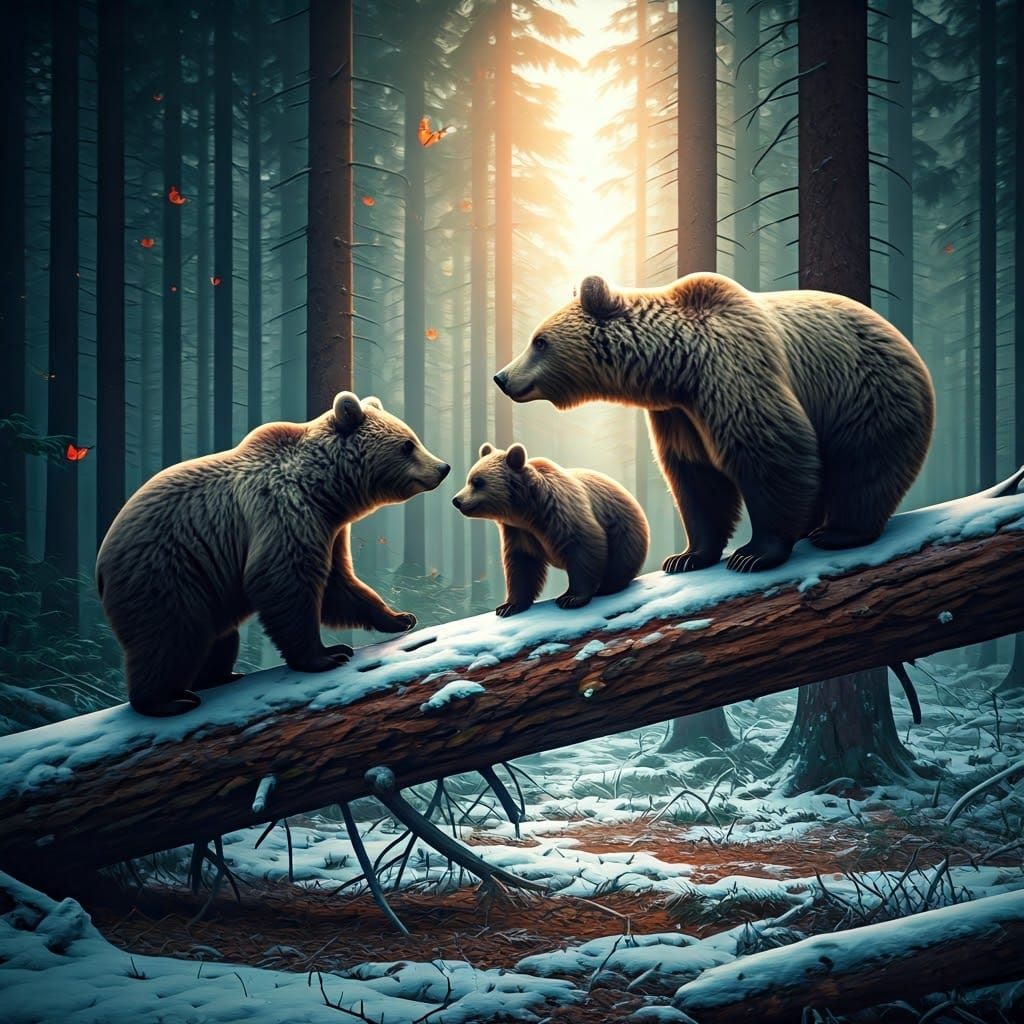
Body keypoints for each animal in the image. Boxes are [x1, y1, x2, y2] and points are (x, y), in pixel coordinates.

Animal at [96, 392, 450, 716]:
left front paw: (399, 616)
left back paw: (220, 675)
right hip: (165, 571)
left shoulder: (327, 529)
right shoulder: (283, 512)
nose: (443, 467)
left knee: (217, 638)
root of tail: (102, 559)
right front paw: (329, 654)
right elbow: (283, 582)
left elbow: (338, 585)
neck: (326, 489)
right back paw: (168, 700)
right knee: (169, 637)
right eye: (408, 444)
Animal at [452, 442, 649, 616]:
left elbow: (582, 546)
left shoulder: (560, 512)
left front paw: (570, 598)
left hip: (623, 529)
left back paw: (608, 585)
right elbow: (521, 563)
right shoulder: (518, 531)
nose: (457, 500)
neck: (527, 511)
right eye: (469, 479)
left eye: (478, 482)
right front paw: (508, 606)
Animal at [494, 272, 934, 574]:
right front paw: (686, 556)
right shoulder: (679, 415)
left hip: (866, 394)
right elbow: (696, 478)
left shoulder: (733, 372)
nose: (502, 376)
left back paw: (838, 531)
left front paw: (753, 554)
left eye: (539, 341)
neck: (677, 367)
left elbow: (771, 454)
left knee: (864, 465)